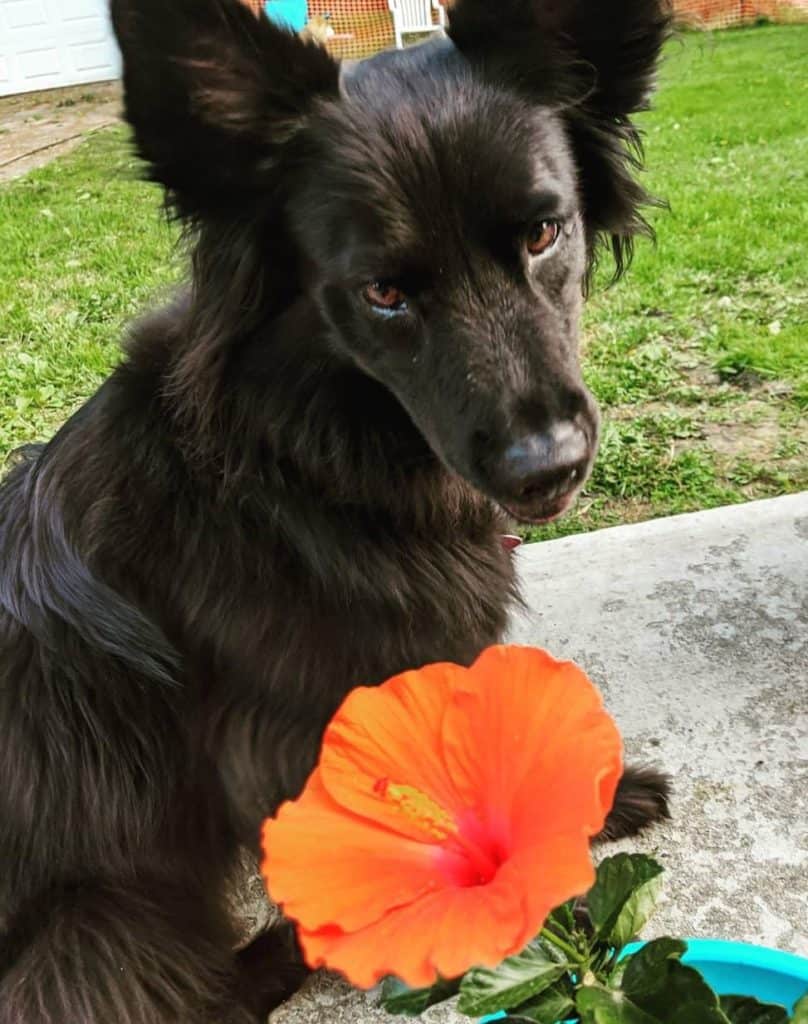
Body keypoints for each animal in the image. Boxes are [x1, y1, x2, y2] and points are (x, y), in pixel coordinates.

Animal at [0, 4, 667, 1019]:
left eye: (545, 232)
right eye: (383, 292)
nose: (546, 470)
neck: (299, 464)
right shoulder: (295, 727)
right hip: (93, 929)